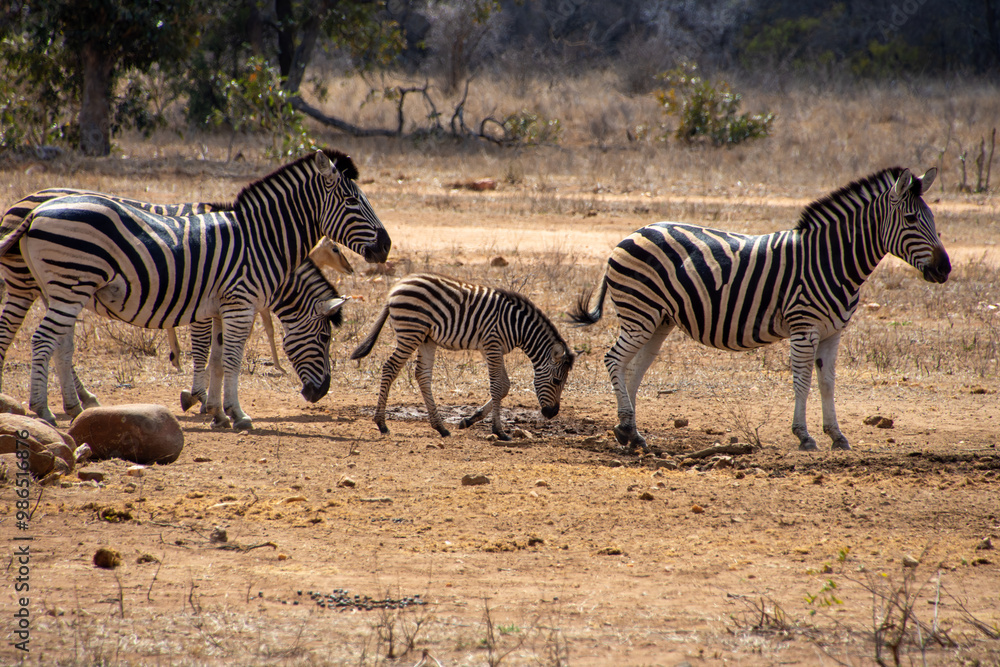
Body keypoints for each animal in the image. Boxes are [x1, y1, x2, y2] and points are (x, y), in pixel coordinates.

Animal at [0, 149, 390, 428]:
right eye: (353, 202)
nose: (320, 393)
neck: (262, 240)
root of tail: (36, 210)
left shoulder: (219, 306)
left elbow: (217, 358)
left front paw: (217, 412)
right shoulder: (238, 303)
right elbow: (229, 358)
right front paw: (235, 414)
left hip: (61, 288)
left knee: (59, 344)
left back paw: (72, 405)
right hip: (57, 284)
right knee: (39, 339)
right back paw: (43, 410)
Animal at [350, 273, 575, 440]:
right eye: (556, 381)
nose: (552, 413)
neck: (517, 326)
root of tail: (396, 288)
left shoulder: (492, 349)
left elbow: (504, 386)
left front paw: (469, 420)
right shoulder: (492, 344)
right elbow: (497, 386)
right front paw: (499, 431)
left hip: (426, 338)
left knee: (422, 375)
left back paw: (440, 427)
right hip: (411, 331)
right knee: (390, 367)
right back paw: (381, 423)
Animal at [569, 167, 950, 453]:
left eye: (932, 219)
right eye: (912, 218)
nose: (944, 269)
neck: (832, 261)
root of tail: (631, 233)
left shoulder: (833, 332)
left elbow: (827, 382)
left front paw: (837, 435)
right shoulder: (803, 327)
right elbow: (802, 381)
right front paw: (804, 435)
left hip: (658, 320)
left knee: (634, 368)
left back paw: (629, 431)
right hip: (640, 313)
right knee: (614, 360)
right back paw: (627, 427)